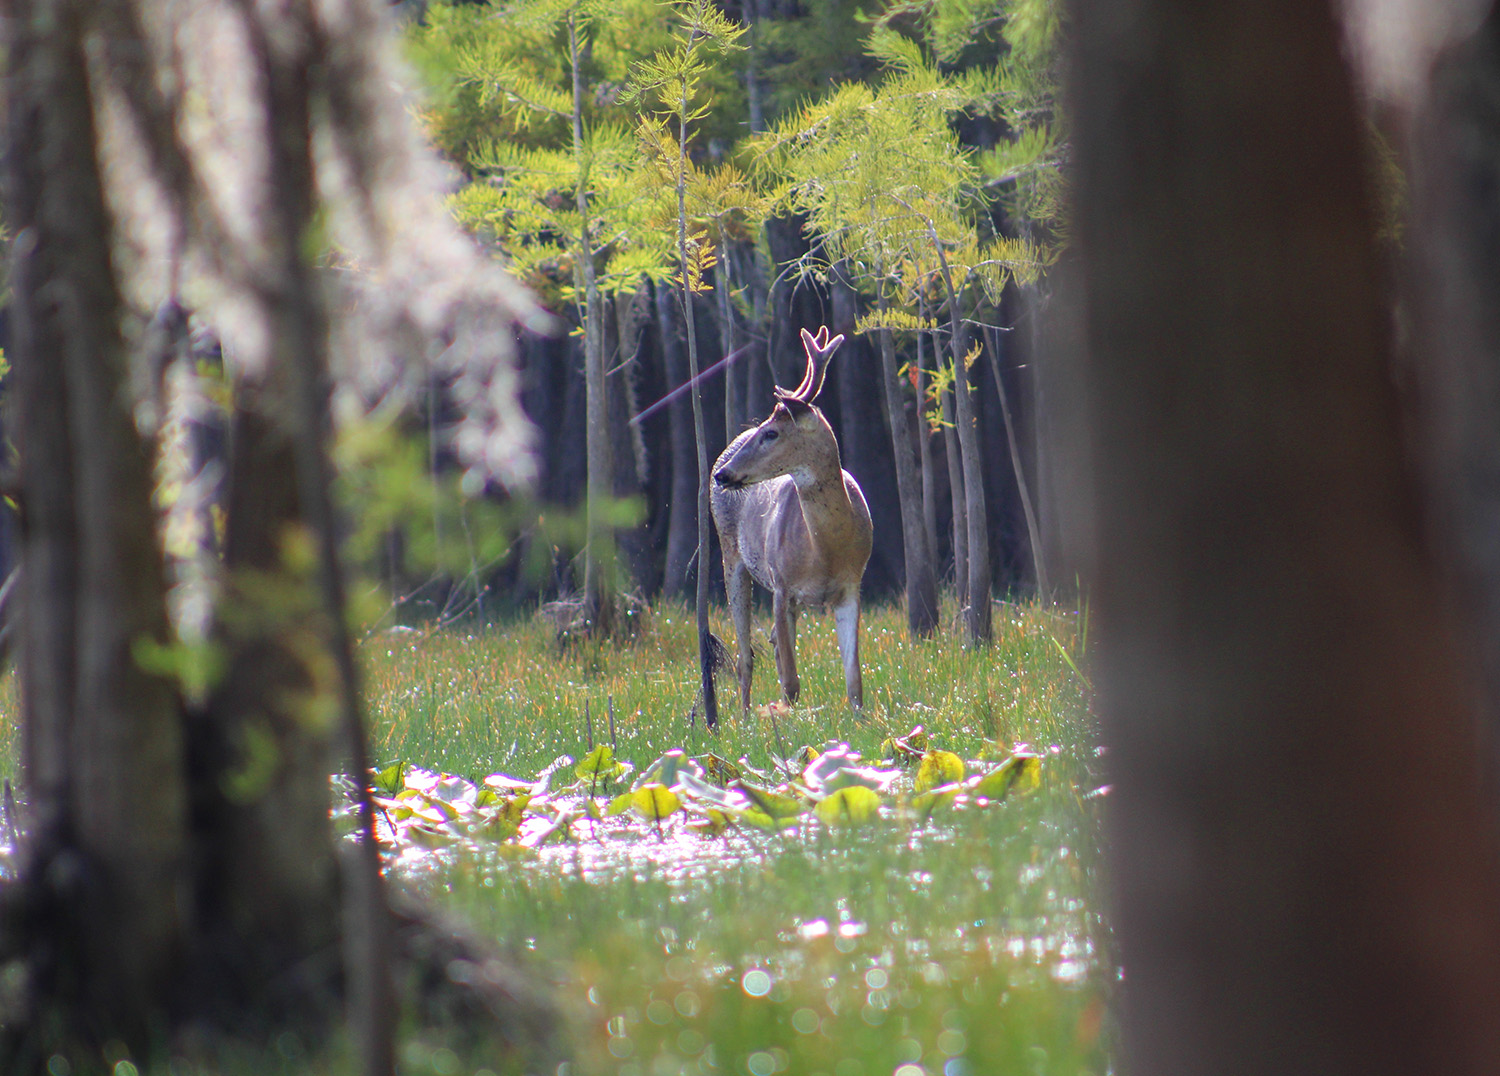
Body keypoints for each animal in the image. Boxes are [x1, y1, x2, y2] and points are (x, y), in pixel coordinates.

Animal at [712, 326, 873, 710]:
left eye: (771, 433)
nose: (722, 474)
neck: (825, 552)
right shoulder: (781, 584)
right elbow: (790, 682)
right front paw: (788, 722)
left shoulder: (851, 585)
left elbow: (854, 682)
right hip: (731, 556)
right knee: (744, 658)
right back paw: (742, 717)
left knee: (767, 645)